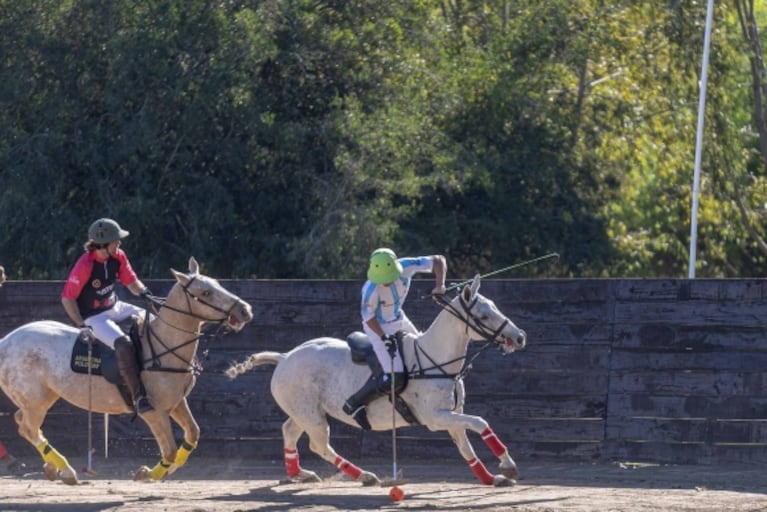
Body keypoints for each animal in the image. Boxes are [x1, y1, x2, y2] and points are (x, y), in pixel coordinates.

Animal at [0, 256, 255, 484]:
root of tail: (5, 342)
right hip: (35, 399)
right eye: (205, 293)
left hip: (44, 397)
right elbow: (170, 451)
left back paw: (52, 468)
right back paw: (67, 470)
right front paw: (147, 474)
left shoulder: (176, 403)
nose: (246, 310)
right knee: (29, 428)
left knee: (22, 422)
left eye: (218, 284)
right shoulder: (153, 412)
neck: (164, 345)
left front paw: (161, 471)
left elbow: (192, 434)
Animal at [226, 278, 528, 486]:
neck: (436, 360)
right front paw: (508, 465)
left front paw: (491, 478)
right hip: (311, 416)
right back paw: (364, 476)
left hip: (305, 412)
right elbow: (480, 423)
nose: (520, 336)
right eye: (483, 315)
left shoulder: (452, 414)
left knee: (290, 431)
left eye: (495, 307)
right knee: (318, 445)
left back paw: (301, 473)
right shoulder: (435, 417)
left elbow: (466, 446)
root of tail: (285, 356)